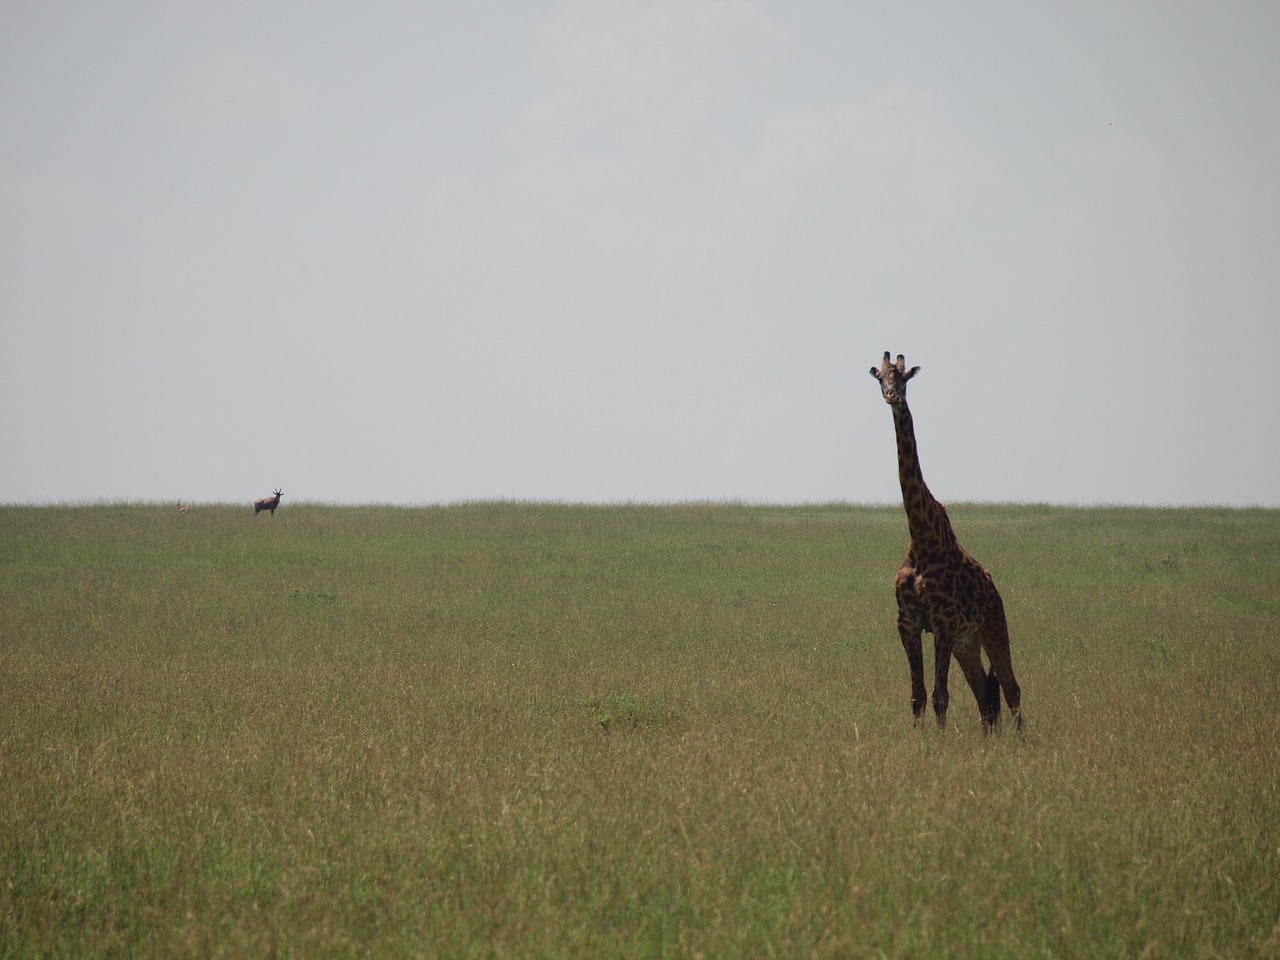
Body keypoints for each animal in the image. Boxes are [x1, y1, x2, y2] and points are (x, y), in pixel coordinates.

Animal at [865, 353, 1024, 737]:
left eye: (904, 378)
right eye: (880, 378)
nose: (891, 396)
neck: (922, 539)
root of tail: (995, 591)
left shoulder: (943, 624)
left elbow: (940, 695)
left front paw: (937, 742)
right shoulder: (908, 622)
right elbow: (918, 695)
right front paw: (919, 740)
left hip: (993, 627)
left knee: (1010, 686)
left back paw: (1020, 740)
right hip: (967, 643)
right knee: (984, 692)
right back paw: (990, 739)